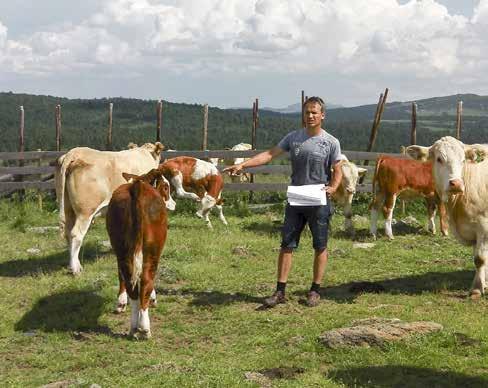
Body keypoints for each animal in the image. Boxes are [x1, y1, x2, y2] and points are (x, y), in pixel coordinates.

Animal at [54, 142, 166, 272]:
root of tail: (73, 153)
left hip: (68, 209)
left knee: (68, 233)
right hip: (85, 212)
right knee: (76, 234)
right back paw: (76, 268)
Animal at [106, 168, 174, 338]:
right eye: (166, 186)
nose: (173, 204)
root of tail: (137, 187)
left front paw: (121, 302)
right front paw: (154, 298)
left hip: (121, 246)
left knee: (129, 277)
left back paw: (134, 327)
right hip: (153, 248)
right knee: (146, 279)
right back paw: (144, 328)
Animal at [406, 136, 488, 298]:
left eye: (463, 160)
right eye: (439, 159)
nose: (456, 183)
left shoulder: (484, 227)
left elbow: (480, 259)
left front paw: (476, 290)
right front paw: (483, 284)